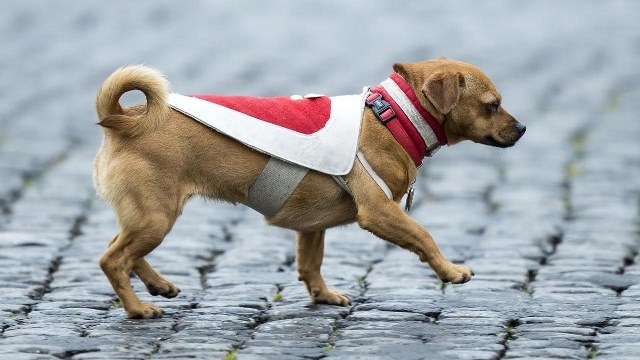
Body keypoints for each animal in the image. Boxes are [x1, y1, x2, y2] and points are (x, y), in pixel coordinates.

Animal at [94, 58, 524, 318]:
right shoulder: (379, 212)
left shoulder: (311, 226)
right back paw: (137, 308)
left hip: (148, 216)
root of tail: (122, 119)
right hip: (156, 216)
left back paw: (158, 285)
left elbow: (310, 263)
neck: (391, 118)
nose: (522, 128)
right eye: (492, 105)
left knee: (123, 249)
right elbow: (424, 235)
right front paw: (450, 271)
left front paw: (323, 295)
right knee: (112, 259)